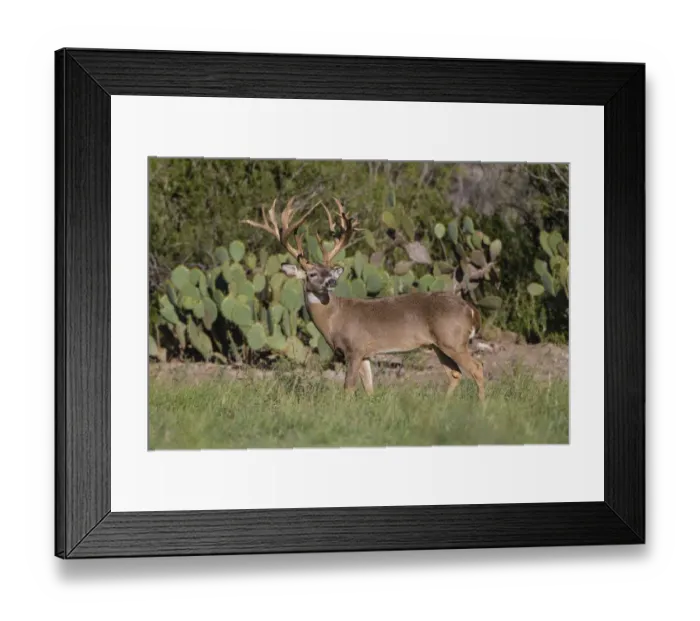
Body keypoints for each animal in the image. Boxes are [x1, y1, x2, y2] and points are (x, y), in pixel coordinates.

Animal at [242, 197, 485, 401]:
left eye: (329, 271)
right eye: (312, 274)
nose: (331, 281)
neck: (335, 319)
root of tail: (471, 310)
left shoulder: (354, 348)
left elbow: (348, 387)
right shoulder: (366, 354)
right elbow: (369, 388)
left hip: (453, 340)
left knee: (477, 368)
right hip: (438, 344)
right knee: (455, 373)